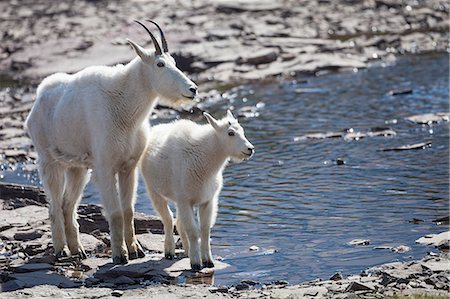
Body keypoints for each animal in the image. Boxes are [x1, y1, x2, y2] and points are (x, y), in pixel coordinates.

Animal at [24, 19, 197, 264]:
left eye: (174, 61)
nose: (192, 89)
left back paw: (78, 250)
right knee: (54, 205)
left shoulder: (128, 167)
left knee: (68, 204)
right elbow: (114, 213)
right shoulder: (104, 167)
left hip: (77, 168)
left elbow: (128, 210)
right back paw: (62, 250)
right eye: (160, 64)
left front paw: (135, 250)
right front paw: (119, 255)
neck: (126, 108)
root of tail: (37, 102)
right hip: (49, 160)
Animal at [141, 110, 253, 272]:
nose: (250, 149)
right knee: (168, 219)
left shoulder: (207, 200)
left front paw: (208, 261)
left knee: (179, 223)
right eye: (230, 133)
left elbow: (205, 229)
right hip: (154, 190)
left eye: (243, 131)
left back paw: (187, 251)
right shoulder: (184, 200)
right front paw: (196, 263)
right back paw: (169, 251)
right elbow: (193, 231)